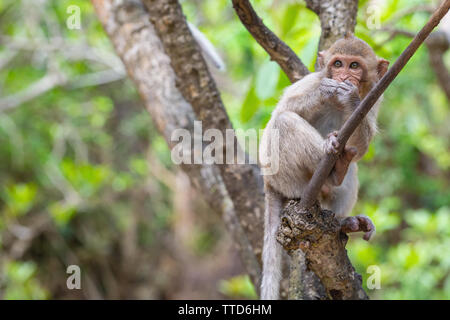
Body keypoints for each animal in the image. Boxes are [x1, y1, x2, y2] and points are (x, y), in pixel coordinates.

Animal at [258, 35, 388, 300]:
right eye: (338, 64)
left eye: (354, 66)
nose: (343, 76)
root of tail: (269, 182)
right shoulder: (310, 81)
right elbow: (279, 114)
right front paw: (326, 91)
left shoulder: (373, 95)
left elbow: (361, 146)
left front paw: (350, 99)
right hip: (287, 178)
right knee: (283, 121)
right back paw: (330, 163)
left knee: (352, 166)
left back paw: (343, 216)